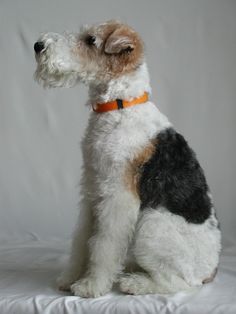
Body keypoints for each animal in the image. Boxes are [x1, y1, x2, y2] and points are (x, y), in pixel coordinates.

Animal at [33, 19, 221, 296]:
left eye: (91, 40)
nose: (38, 45)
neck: (121, 105)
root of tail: (212, 270)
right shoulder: (93, 188)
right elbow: (83, 239)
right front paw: (70, 278)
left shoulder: (118, 195)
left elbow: (104, 244)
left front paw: (91, 285)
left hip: (151, 224)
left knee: (179, 283)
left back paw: (134, 282)